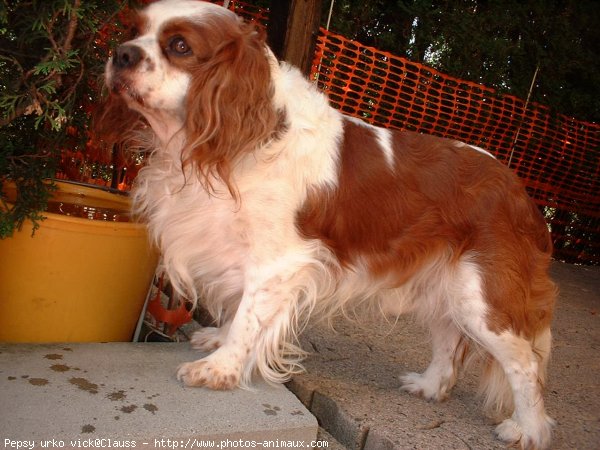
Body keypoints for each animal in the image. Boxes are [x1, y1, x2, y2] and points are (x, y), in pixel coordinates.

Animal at [102, 1, 556, 448]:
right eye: (134, 30)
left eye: (179, 46)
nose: (121, 53)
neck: (241, 138)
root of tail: (521, 192)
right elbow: (241, 306)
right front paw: (219, 340)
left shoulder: (279, 261)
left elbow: (249, 315)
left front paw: (220, 368)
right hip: (446, 287)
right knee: (449, 342)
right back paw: (429, 386)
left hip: (484, 297)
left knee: (526, 366)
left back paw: (528, 429)